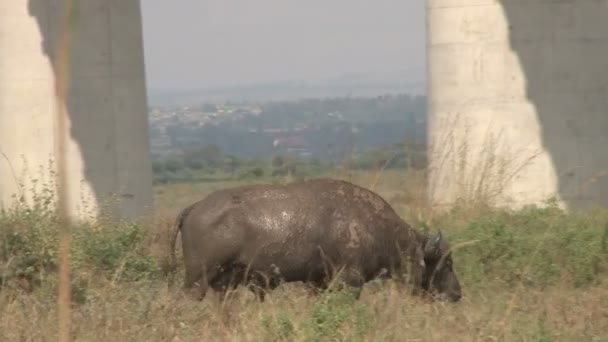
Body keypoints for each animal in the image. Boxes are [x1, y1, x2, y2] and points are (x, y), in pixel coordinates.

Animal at [169, 179, 464, 302]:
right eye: (446, 262)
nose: (457, 293)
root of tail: (193, 208)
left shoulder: (317, 282)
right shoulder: (350, 281)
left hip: (223, 284)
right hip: (198, 280)